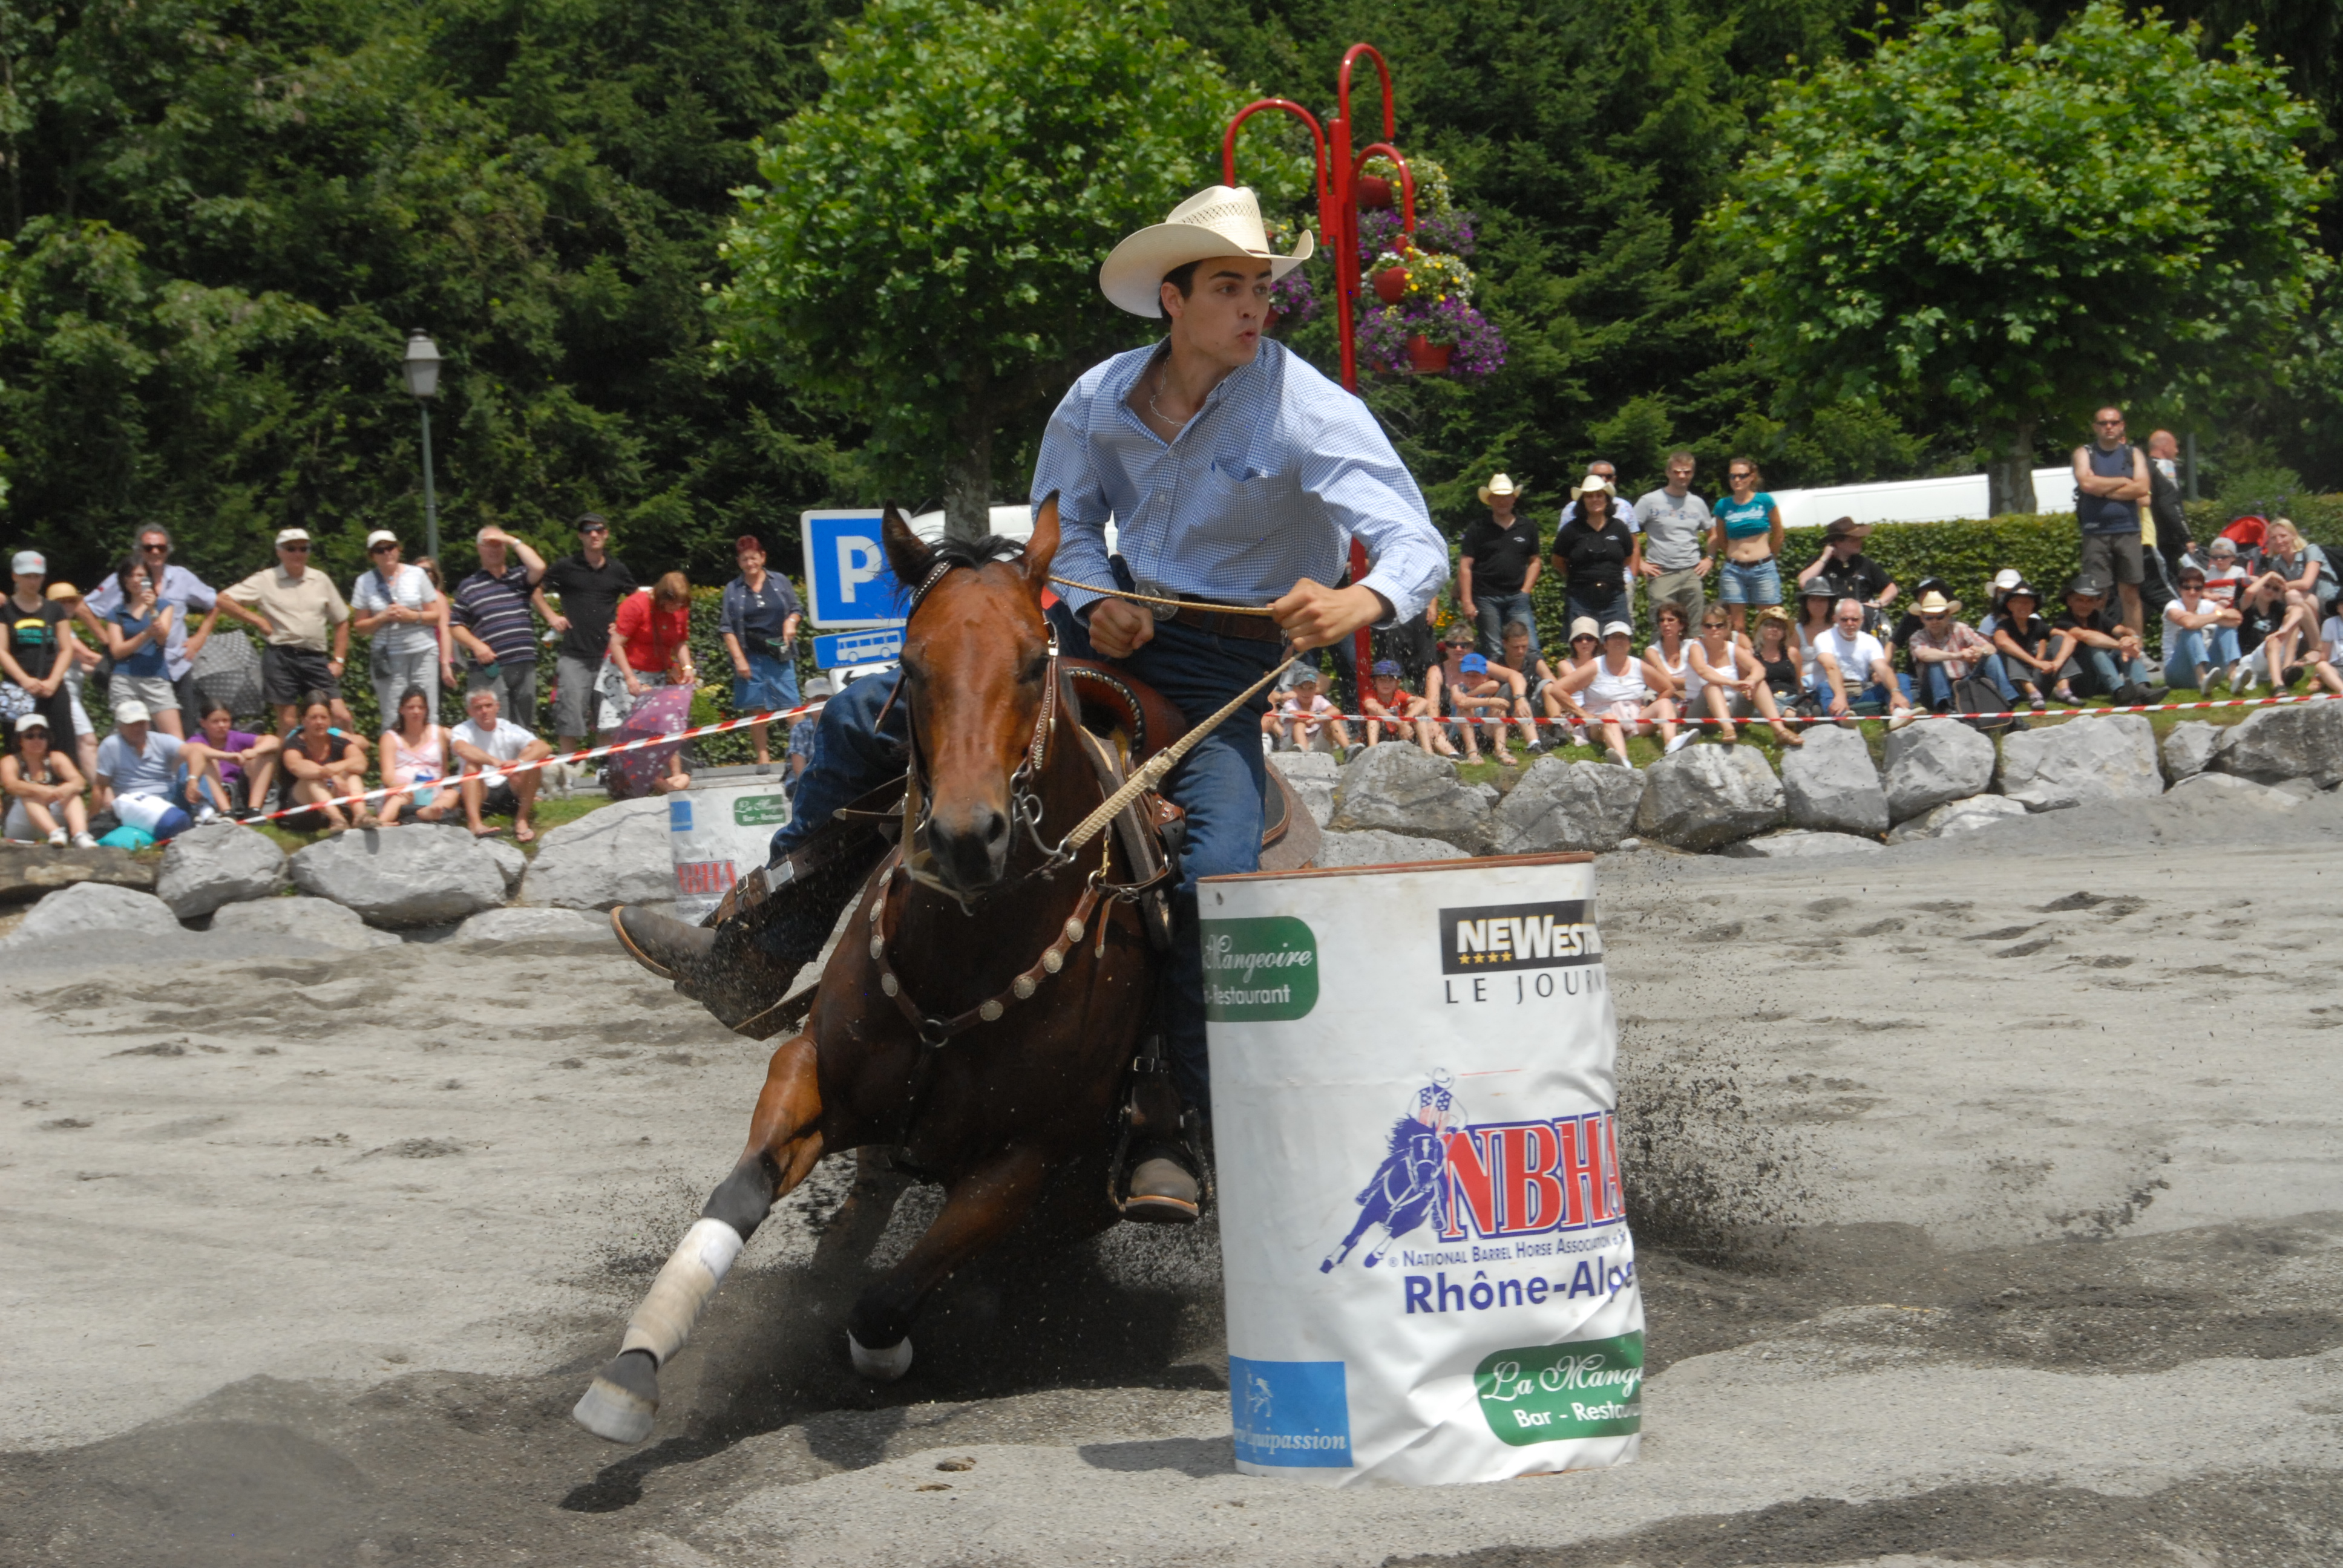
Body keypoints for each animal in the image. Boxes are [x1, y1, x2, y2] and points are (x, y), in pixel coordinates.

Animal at [569, 501, 1172, 1443]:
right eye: (913, 663)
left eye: (1032, 661)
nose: (965, 837)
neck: (966, 959)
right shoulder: (811, 1072)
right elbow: (737, 1198)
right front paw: (632, 1371)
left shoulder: (1024, 1165)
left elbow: (887, 1301)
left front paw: (868, 1356)